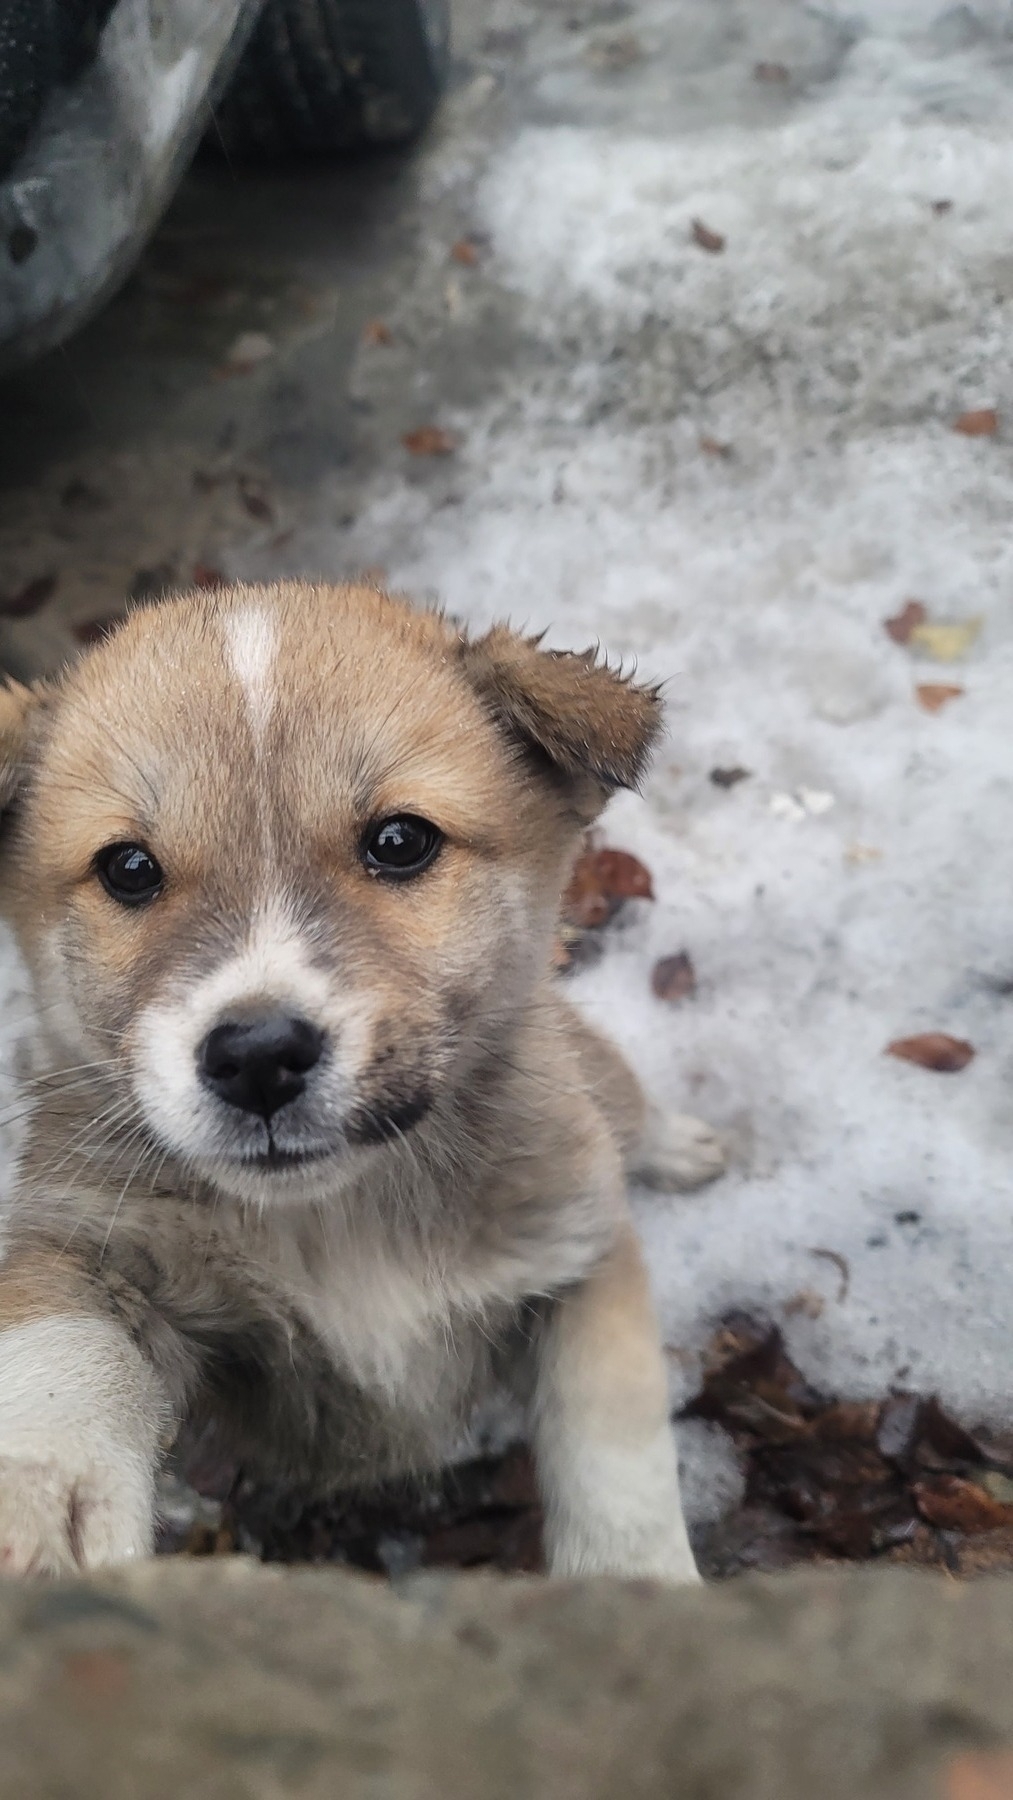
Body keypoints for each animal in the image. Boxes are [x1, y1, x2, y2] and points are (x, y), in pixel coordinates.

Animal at [0, 579, 726, 1576]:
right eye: (129, 867)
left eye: (399, 840)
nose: (257, 1057)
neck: (340, 1223)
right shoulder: (91, 1246)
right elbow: (60, 1357)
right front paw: (41, 1494)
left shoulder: (581, 1254)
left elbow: (616, 1464)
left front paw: (632, 1585)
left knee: (626, 1099)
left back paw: (681, 1145)